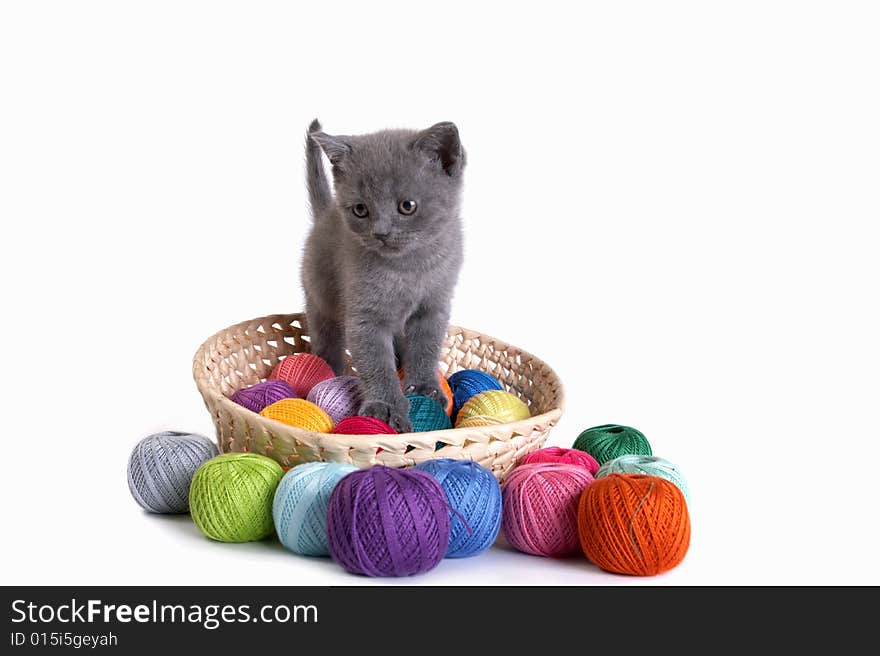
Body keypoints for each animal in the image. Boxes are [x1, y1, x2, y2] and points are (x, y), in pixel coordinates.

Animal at [302, 120, 464, 434]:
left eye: (407, 206)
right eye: (360, 209)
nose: (381, 232)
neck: (409, 269)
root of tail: (324, 216)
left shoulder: (434, 306)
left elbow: (426, 348)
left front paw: (424, 388)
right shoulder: (365, 318)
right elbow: (376, 363)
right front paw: (386, 406)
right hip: (320, 303)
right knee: (327, 340)